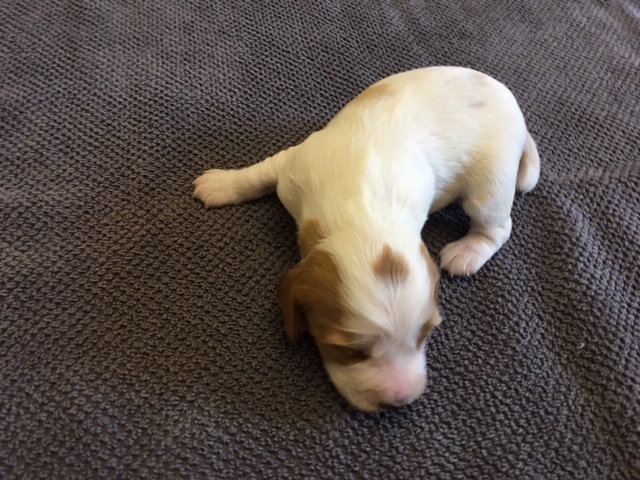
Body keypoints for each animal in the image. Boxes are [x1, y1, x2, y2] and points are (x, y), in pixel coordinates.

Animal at [193, 66, 539, 412]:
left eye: (424, 336)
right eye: (352, 352)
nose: (398, 402)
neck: (366, 212)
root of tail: (516, 108)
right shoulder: (293, 166)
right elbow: (259, 175)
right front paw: (222, 184)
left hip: (489, 184)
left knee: (498, 226)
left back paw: (467, 252)